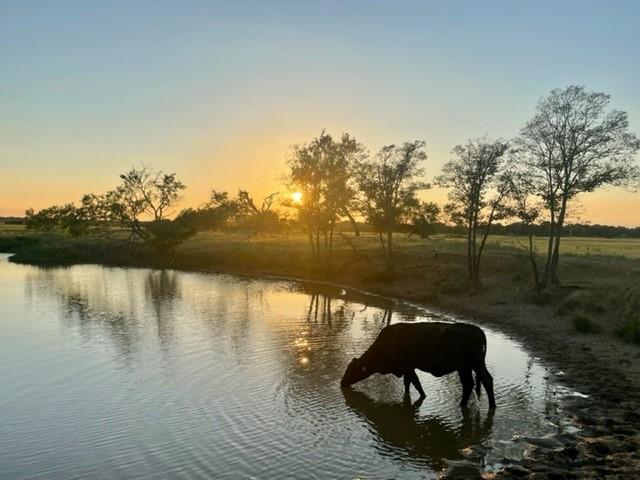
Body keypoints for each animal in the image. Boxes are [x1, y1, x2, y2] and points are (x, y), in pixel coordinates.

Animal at [340, 322, 496, 408]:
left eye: (351, 370)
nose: (342, 382)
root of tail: (477, 330)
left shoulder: (407, 368)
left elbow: (416, 383)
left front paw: (422, 396)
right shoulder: (407, 369)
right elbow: (408, 384)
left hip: (465, 367)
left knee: (469, 384)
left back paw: (463, 405)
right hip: (475, 365)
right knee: (486, 380)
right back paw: (492, 406)